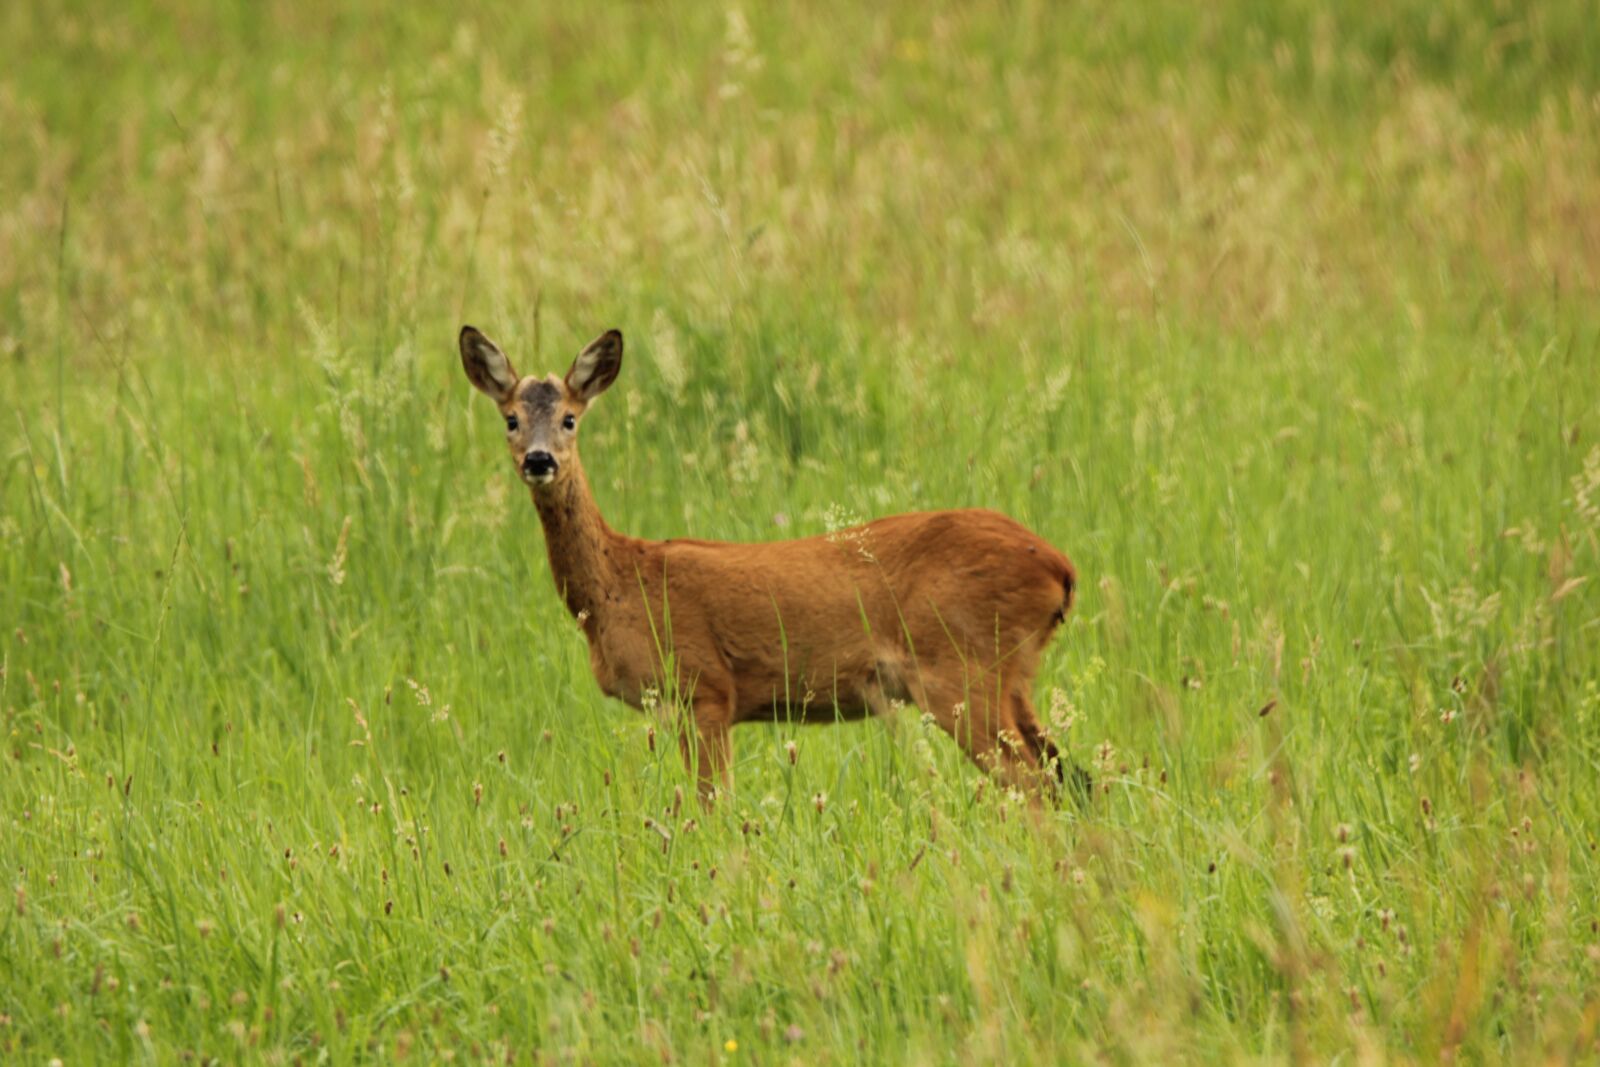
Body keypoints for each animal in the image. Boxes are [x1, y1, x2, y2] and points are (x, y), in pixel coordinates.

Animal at [459, 324, 1082, 803]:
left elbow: (712, 808)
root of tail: (1060, 567)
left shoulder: (705, 689)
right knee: (1071, 780)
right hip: (1010, 679)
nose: (539, 460)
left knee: (1036, 786)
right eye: (511, 419)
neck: (619, 583)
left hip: (962, 667)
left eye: (570, 418)